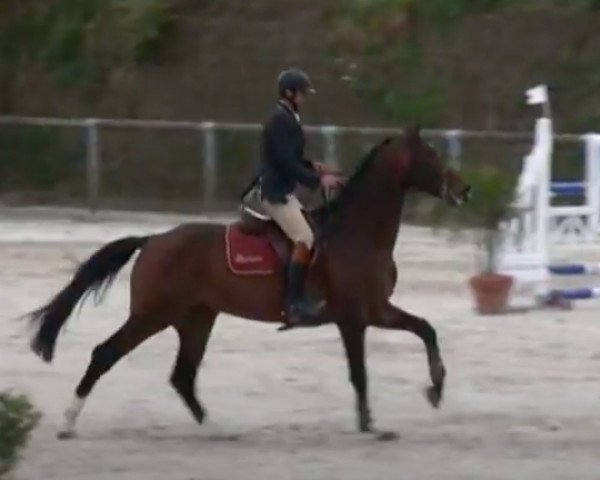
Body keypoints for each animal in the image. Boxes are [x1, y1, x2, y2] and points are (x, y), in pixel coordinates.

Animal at [27, 126, 468, 438]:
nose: (463, 189)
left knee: (183, 375)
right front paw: (370, 426)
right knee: (106, 354)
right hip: (154, 315)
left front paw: (436, 389)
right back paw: (67, 423)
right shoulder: (353, 318)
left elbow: (425, 329)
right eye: (430, 157)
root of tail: (153, 240)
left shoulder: (376, 310)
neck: (355, 233)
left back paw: (215, 429)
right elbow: (360, 372)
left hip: (196, 318)